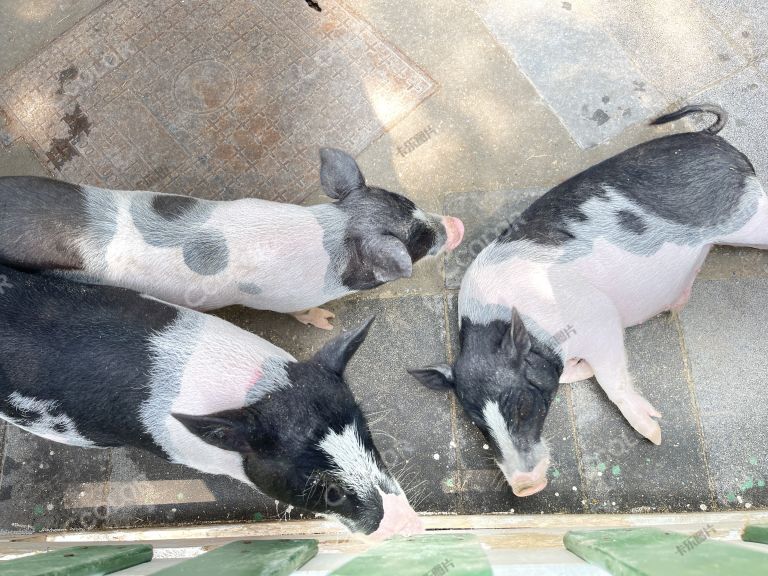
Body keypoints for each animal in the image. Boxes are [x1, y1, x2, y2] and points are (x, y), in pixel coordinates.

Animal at [0, 147, 462, 328]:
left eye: (408, 201)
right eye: (418, 242)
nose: (455, 225)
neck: (333, 240)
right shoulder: (287, 299)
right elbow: (302, 314)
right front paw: (327, 323)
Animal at [412, 104, 764, 500]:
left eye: (522, 406)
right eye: (478, 424)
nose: (525, 487)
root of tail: (712, 139)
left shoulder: (600, 317)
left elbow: (612, 379)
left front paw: (655, 433)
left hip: (747, 216)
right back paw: (674, 307)